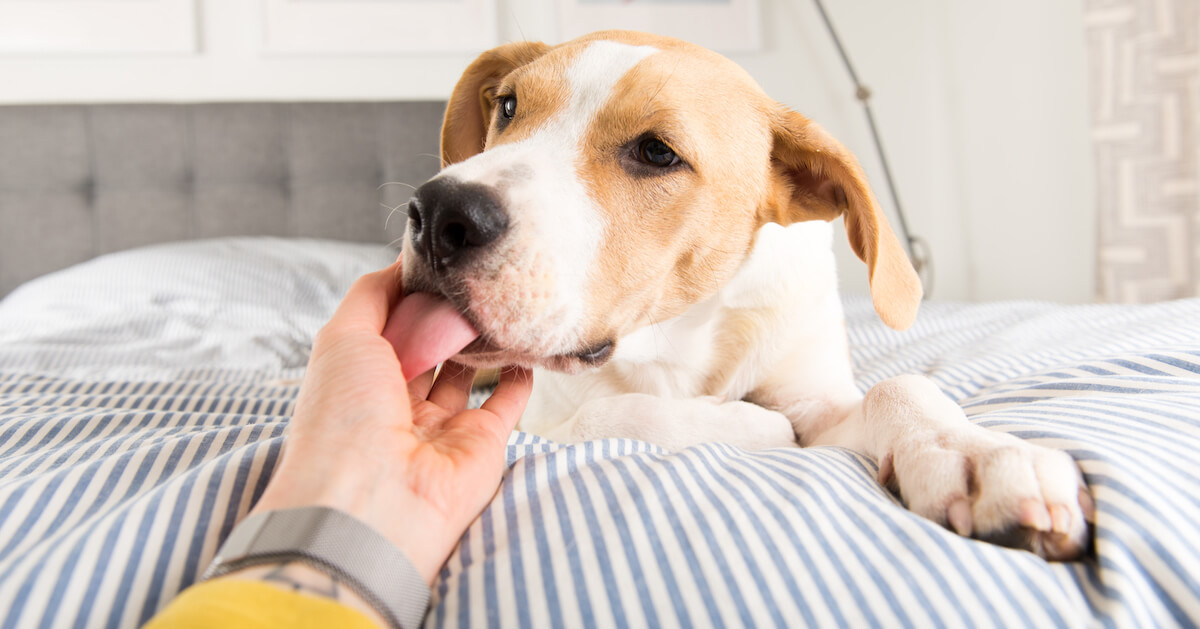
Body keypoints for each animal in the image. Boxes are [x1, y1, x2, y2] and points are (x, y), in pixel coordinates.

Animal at [398, 30, 1094, 559]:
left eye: (657, 152)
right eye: (509, 107)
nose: (437, 214)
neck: (684, 333)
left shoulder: (819, 398)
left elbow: (898, 389)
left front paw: (974, 452)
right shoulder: (543, 413)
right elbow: (611, 413)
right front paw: (747, 425)